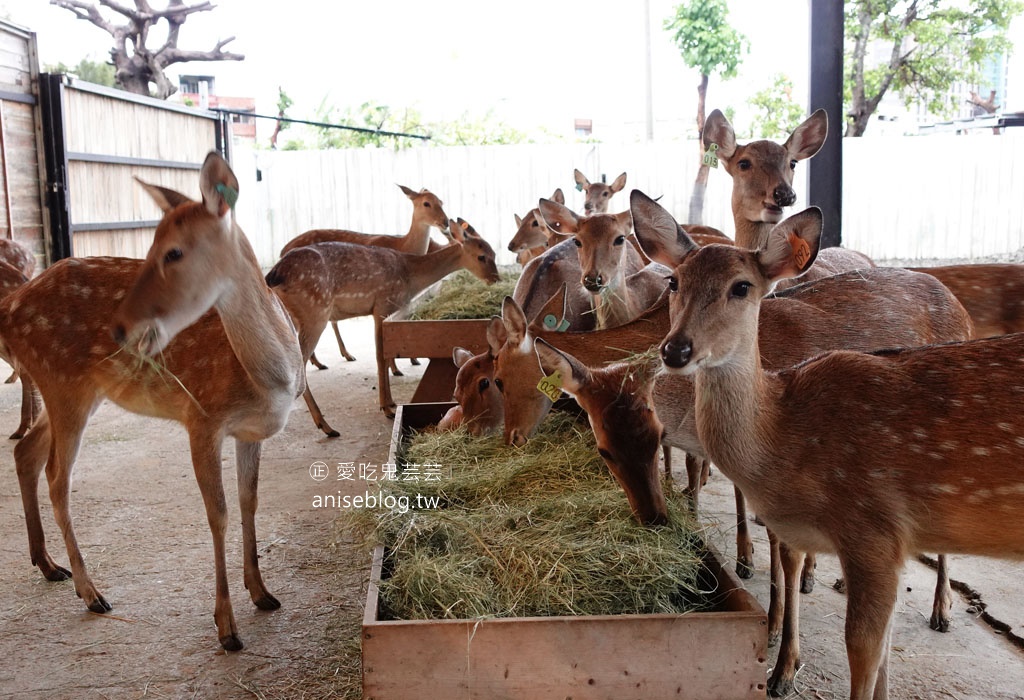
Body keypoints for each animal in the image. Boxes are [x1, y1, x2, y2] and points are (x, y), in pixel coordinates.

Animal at [4, 151, 307, 650]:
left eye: (174, 251)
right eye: (150, 246)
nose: (120, 328)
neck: (270, 379)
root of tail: (7, 310)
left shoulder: (250, 431)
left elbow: (250, 501)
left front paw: (263, 593)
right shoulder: (201, 417)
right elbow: (218, 513)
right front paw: (227, 628)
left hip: (76, 391)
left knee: (25, 449)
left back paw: (48, 565)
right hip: (62, 383)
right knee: (56, 477)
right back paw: (91, 592)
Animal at [268, 219, 499, 425]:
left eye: (495, 253)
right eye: (482, 256)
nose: (496, 279)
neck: (409, 275)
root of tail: (274, 275)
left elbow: (385, 357)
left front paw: (390, 401)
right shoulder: (382, 305)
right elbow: (381, 356)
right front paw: (387, 407)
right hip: (315, 311)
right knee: (299, 363)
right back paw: (325, 425)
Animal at [280, 186, 448, 372]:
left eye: (441, 201)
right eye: (426, 203)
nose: (446, 222)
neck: (404, 246)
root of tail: (282, 251)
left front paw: (412, 360)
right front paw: (396, 368)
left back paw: (337, 357)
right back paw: (322, 361)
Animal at [643, 204, 1019, 700]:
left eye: (741, 286)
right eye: (674, 282)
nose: (675, 349)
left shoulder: (874, 532)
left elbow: (862, 649)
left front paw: (781, 659)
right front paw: (780, 665)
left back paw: (941, 609)